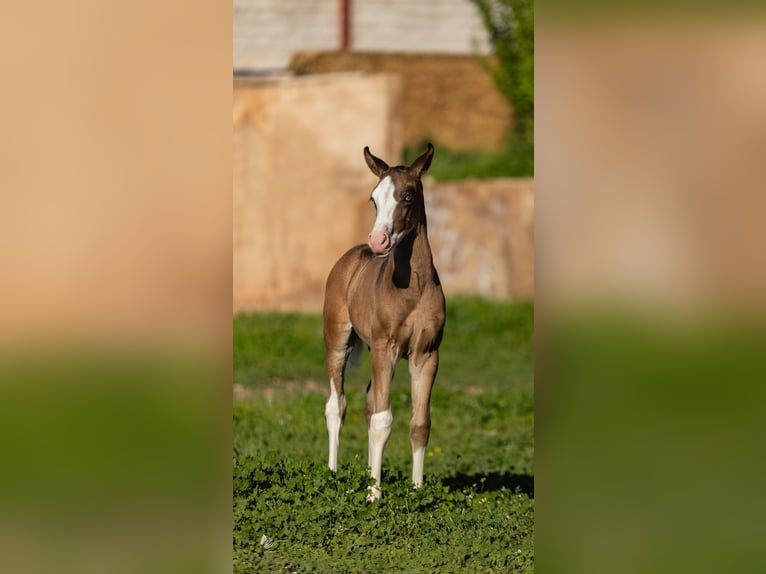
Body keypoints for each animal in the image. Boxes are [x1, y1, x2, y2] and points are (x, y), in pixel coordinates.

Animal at [322, 145, 444, 504]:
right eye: (374, 199)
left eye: (408, 195)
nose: (378, 240)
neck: (413, 288)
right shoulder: (383, 348)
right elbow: (382, 420)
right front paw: (374, 495)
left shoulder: (426, 354)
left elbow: (420, 422)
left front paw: (417, 490)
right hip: (338, 341)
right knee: (337, 405)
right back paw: (333, 474)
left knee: (367, 401)